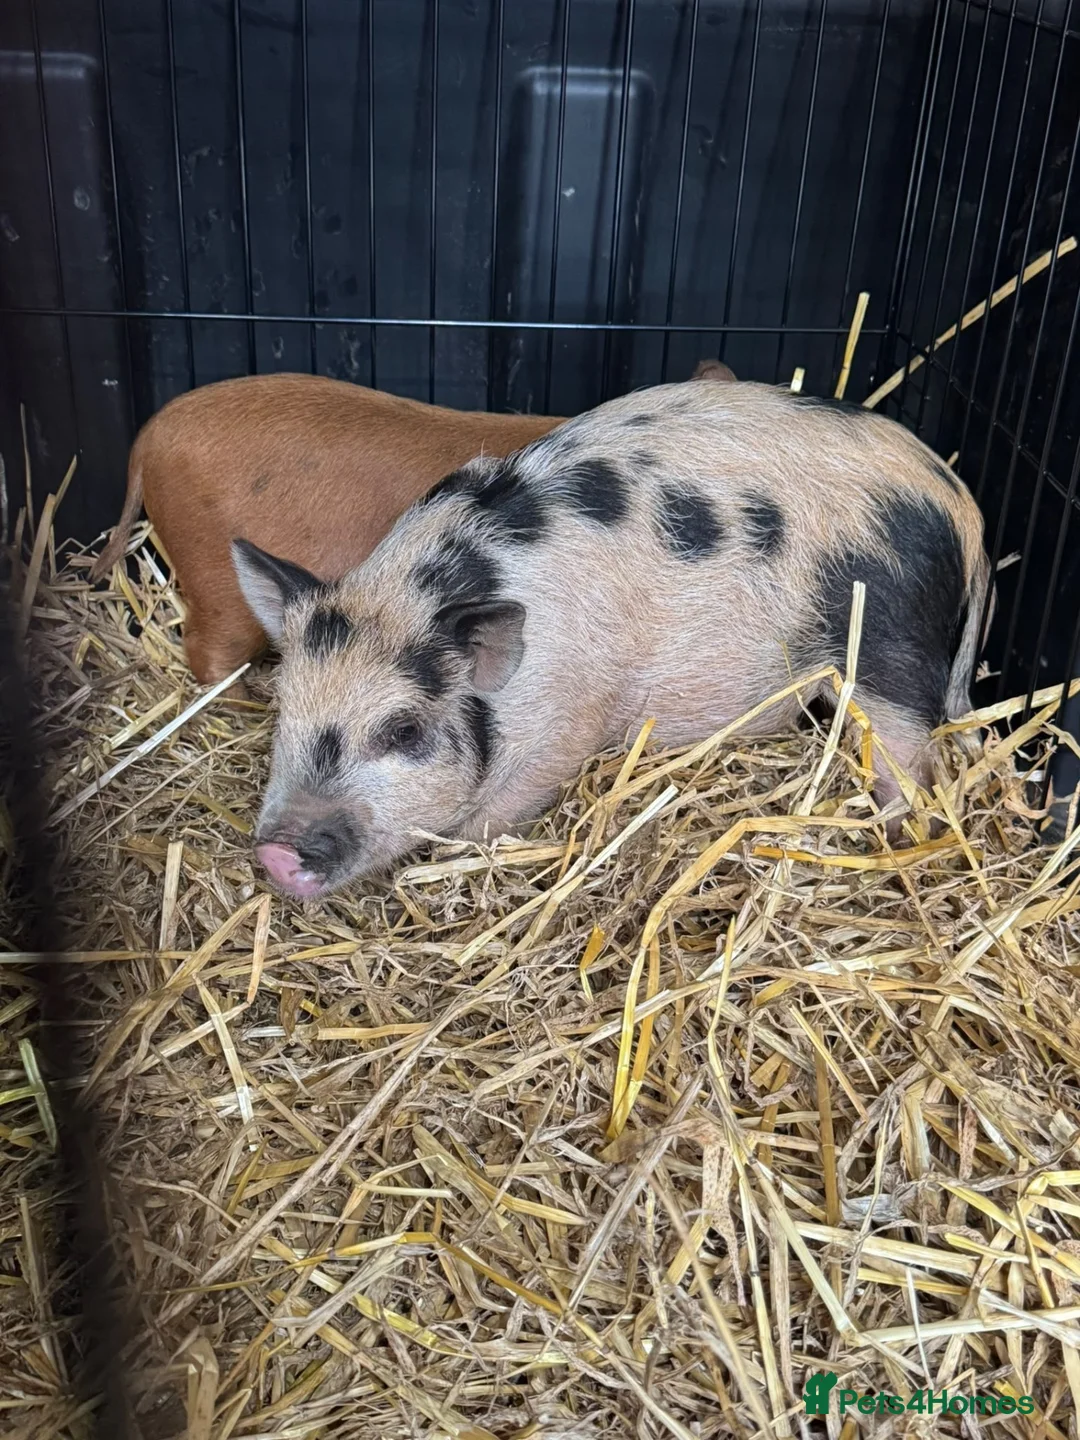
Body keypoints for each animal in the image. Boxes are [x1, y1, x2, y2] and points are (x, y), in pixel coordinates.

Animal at [231, 379, 991, 900]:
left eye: (403, 731)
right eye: (283, 709)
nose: (276, 853)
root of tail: (961, 502)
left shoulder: (562, 728)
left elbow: (492, 820)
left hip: (889, 640)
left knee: (908, 752)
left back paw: (893, 836)